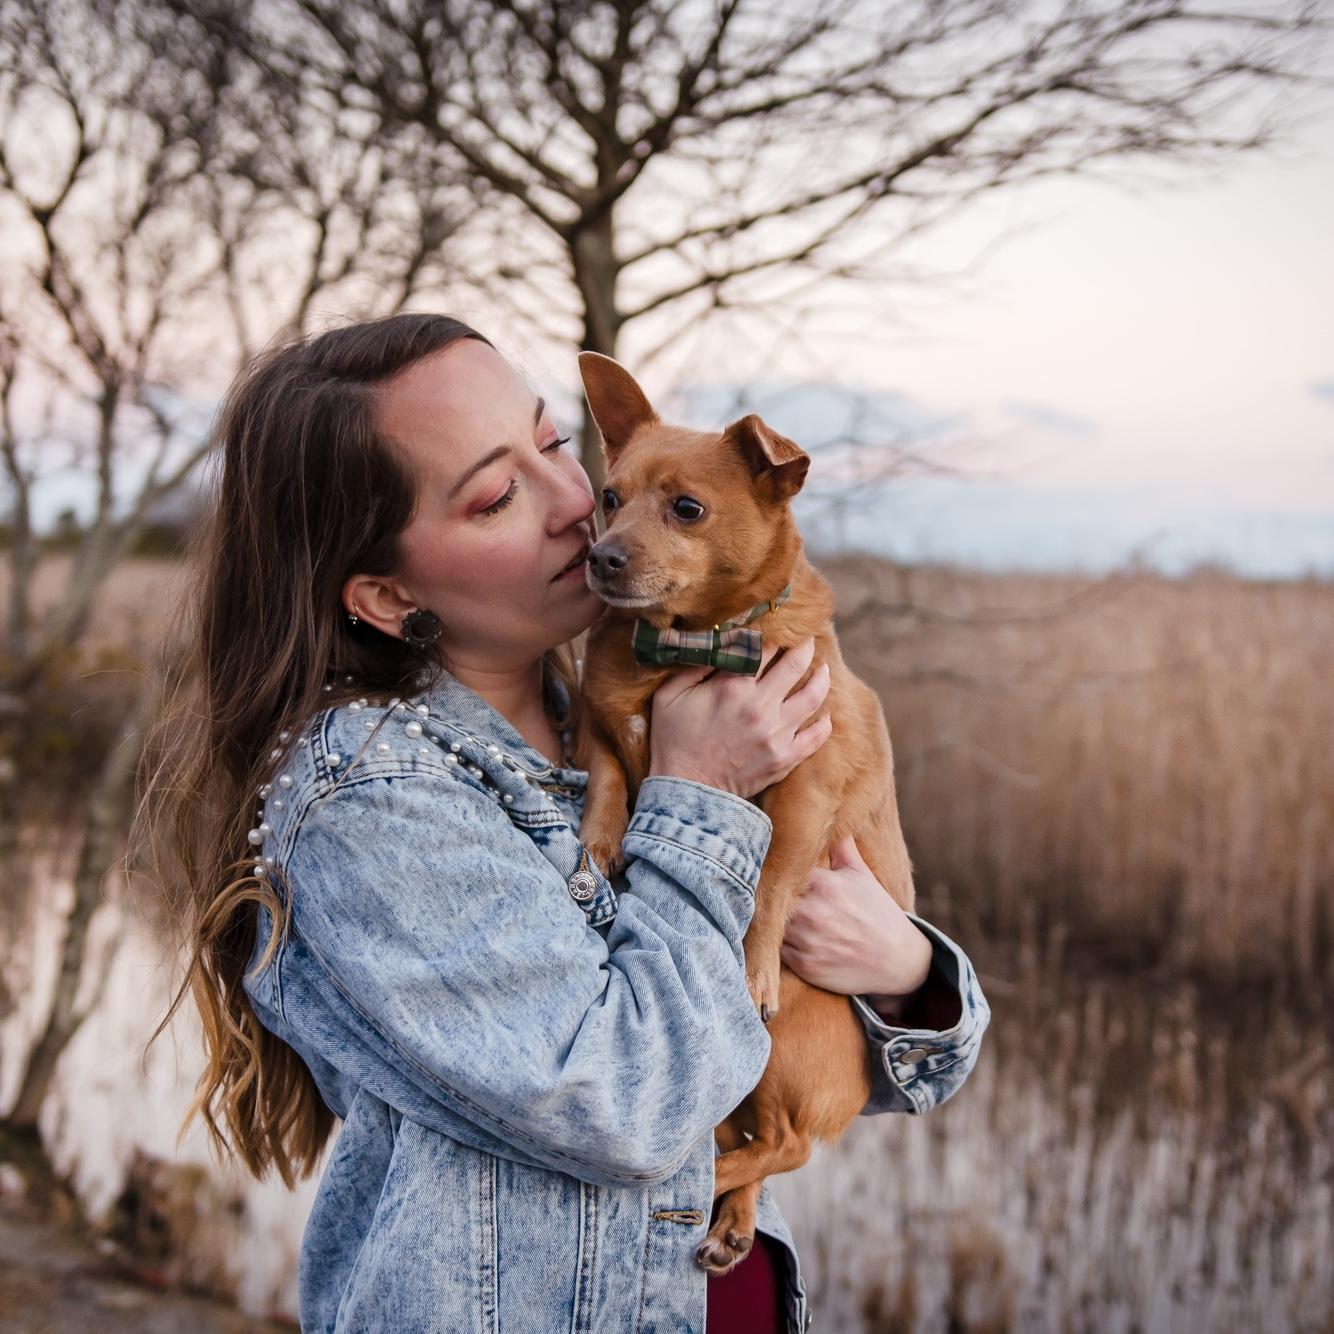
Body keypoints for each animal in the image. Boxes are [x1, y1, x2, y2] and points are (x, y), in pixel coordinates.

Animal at [570, 352, 917, 1275]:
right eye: (609, 496)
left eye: (687, 508)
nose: (600, 558)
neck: (679, 649)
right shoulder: (597, 729)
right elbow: (609, 778)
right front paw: (595, 844)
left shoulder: (802, 791)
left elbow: (773, 881)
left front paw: (753, 969)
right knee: (759, 1140)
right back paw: (729, 1215)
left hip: (777, 1058)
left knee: (785, 1142)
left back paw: (717, 1187)